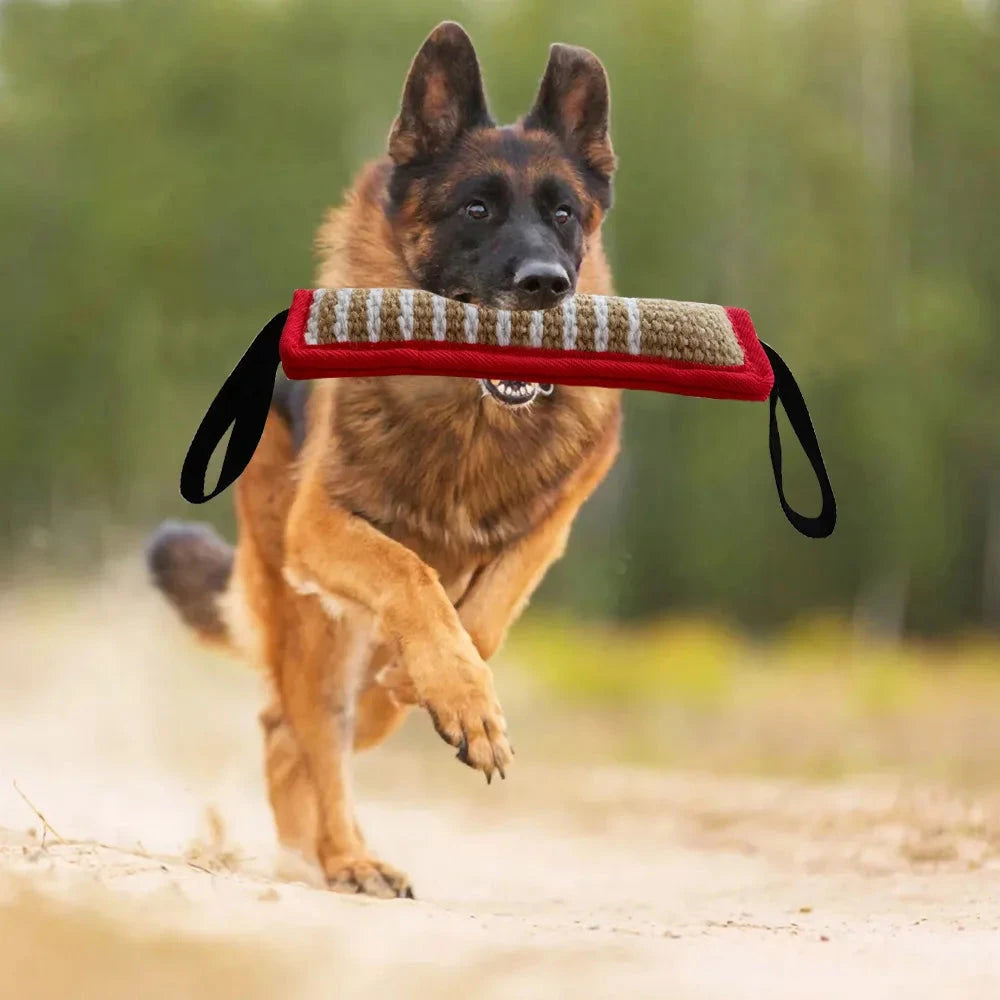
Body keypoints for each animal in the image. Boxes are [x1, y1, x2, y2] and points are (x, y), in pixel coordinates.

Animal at [149, 21, 620, 900]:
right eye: (476, 208)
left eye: (564, 213)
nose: (546, 284)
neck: (468, 418)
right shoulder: (322, 529)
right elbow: (411, 573)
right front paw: (456, 690)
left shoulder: (554, 521)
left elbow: (487, 610)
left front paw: (447, 684)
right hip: (314, 620)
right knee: (305, 731)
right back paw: (344, 856)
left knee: (306, 731)